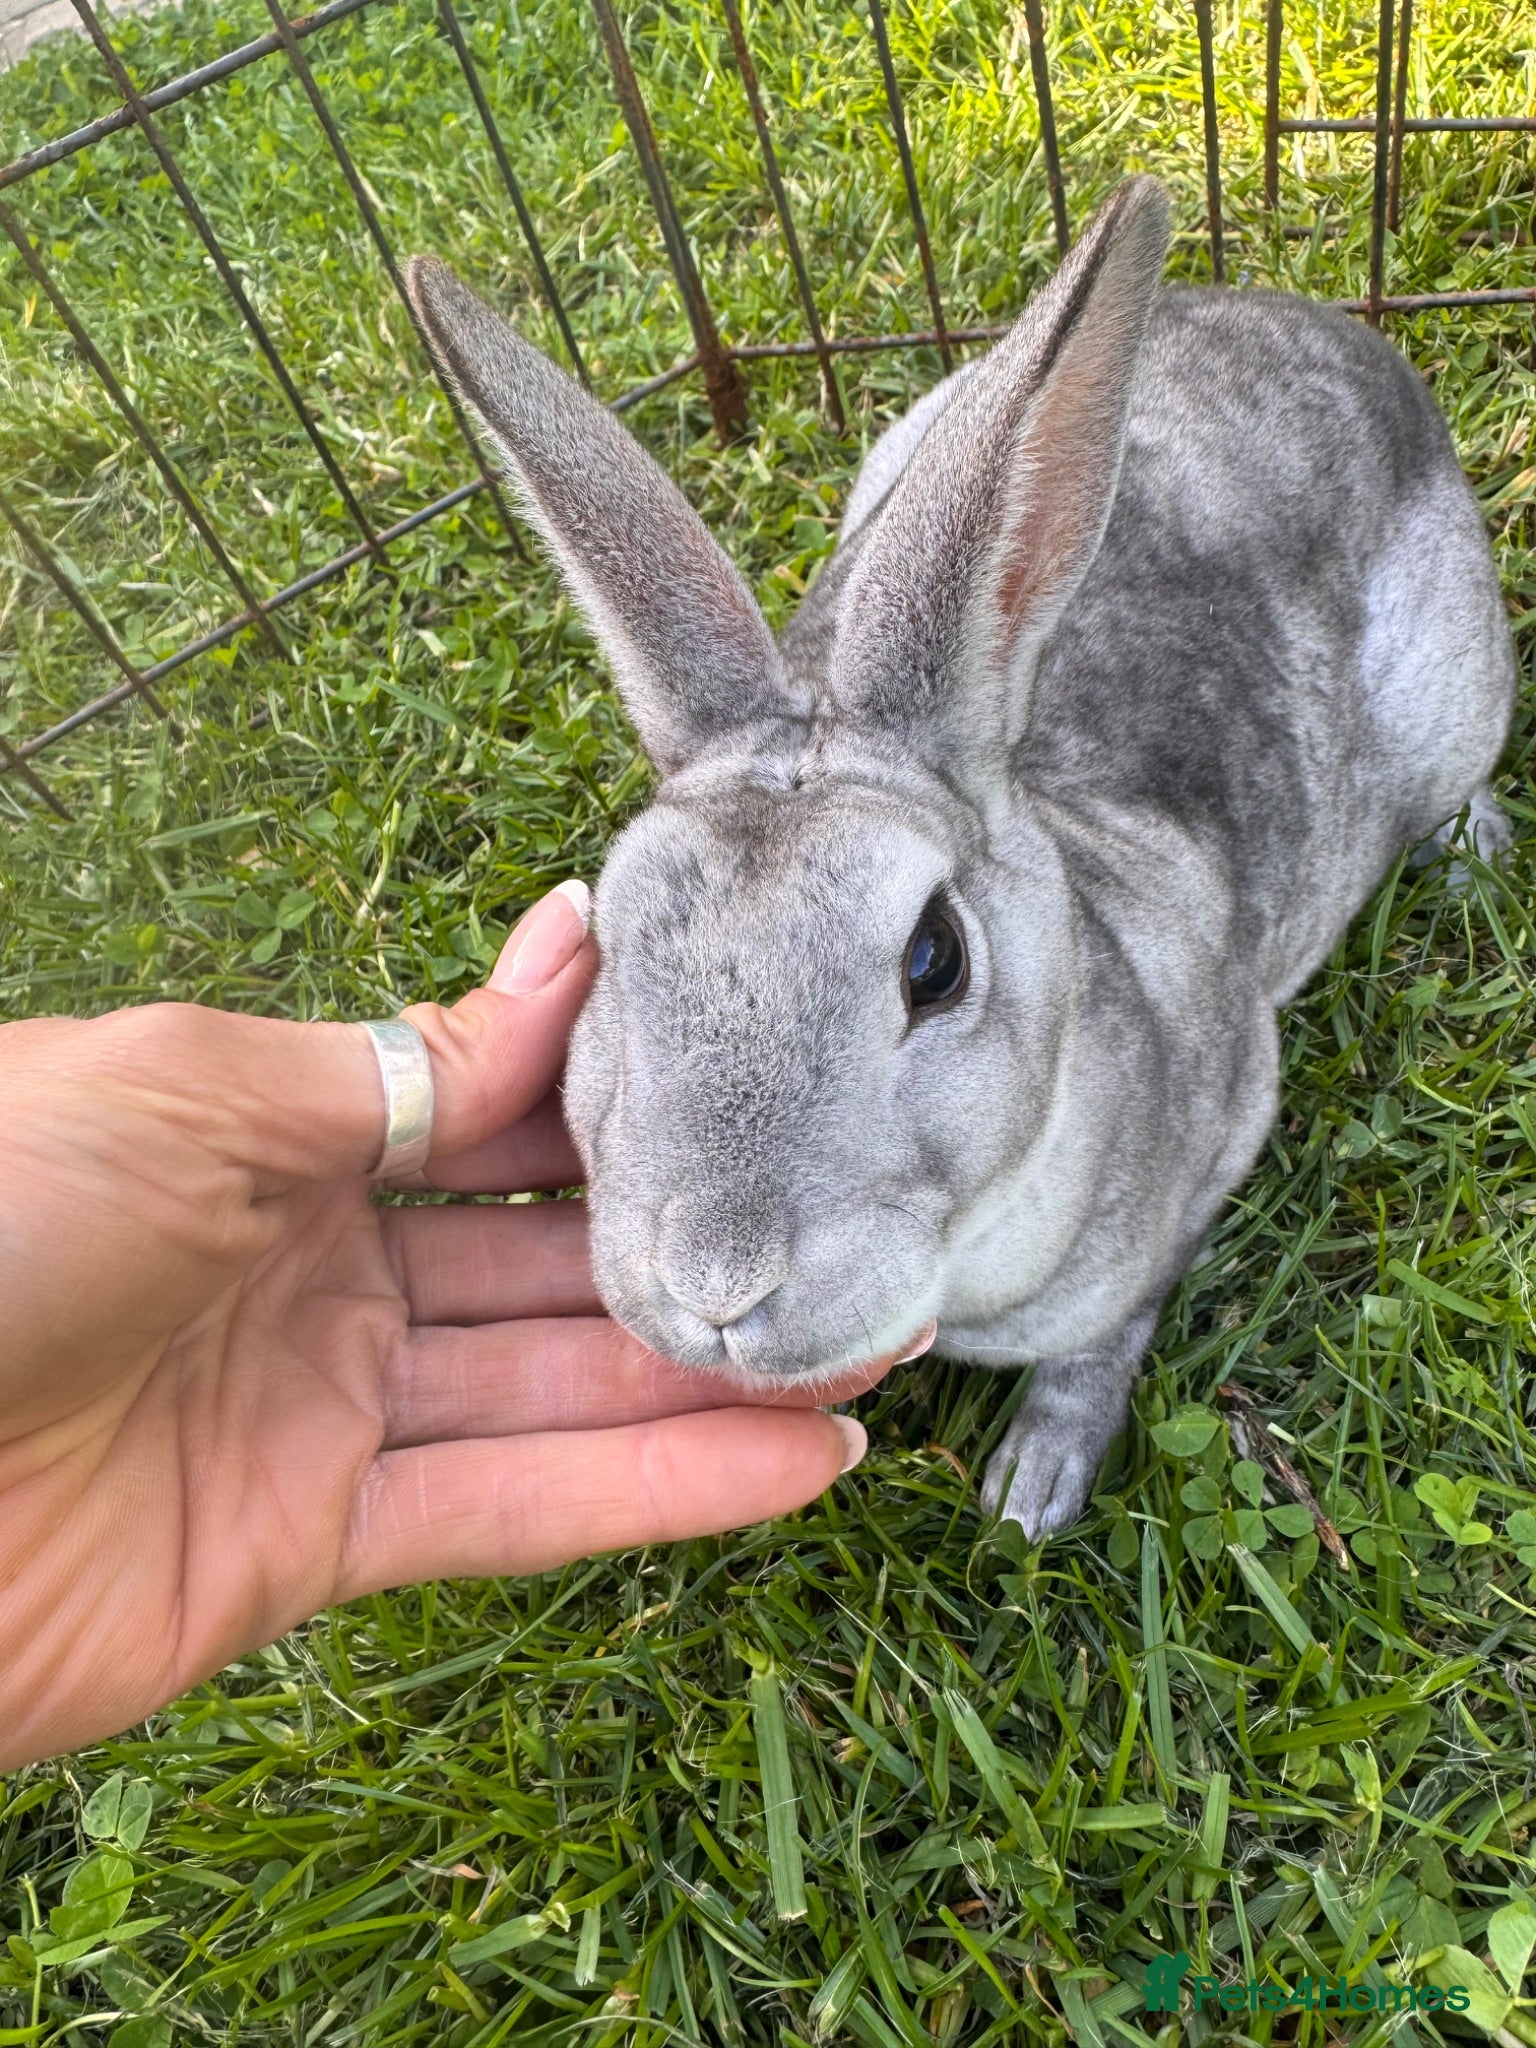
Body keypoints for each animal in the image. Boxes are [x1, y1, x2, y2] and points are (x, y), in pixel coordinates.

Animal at [404, 173, 1516, 1538]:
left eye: (934, 960)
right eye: (607, 946)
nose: (717, 1283)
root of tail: (1327, 329)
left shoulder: (1222, 1126)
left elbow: (1107, 1339)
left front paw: (1030, 1489)